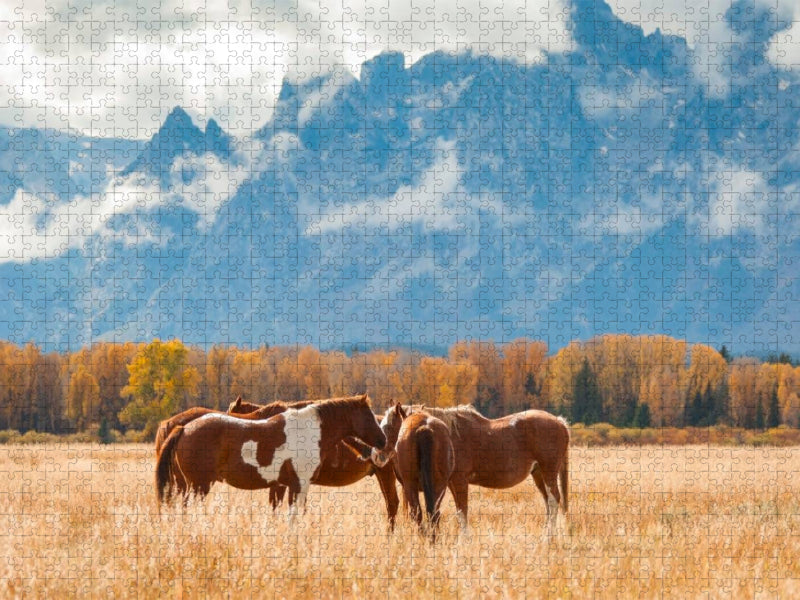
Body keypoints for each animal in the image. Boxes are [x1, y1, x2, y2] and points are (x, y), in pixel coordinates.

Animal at [155, 395, 387, 515]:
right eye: (368, 416)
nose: (383, 441)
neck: (309, 430)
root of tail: (184, 428)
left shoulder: (288, 486)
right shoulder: (299, 485)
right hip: (198, 485)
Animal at [378, 403, 454, 539]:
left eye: (388, 427)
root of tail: (425, 429)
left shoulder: (406, 485)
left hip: (410, 485)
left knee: (417, 513)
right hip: (440, 486)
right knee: (434, 513)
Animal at [417, 405, 569, 534]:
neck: (449, 434)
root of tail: (559, 422)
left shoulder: (460, 481)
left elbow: (462, 512)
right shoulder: (452, 483)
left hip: (548, 471)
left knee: (553, 500)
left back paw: (549, 537)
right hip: (538, 473)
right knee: (548, 501)